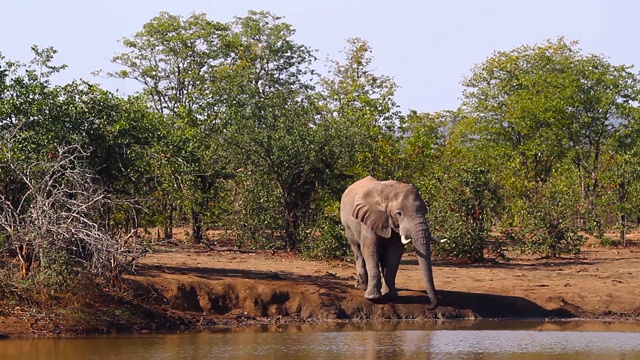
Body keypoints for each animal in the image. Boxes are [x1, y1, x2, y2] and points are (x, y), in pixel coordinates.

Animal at [340, 175, 440, 310]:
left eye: (425, 212)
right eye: (399, 213)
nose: (429, 306)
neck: (389, 193)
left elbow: (395, 253)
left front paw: (390, 296)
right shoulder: (369, 217)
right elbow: (370, 249)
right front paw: (373, 298)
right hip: (348, 225)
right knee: (357, 249)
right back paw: (361, 287)